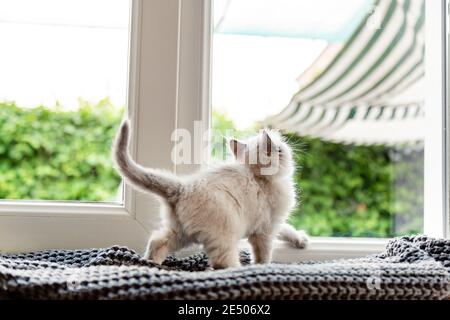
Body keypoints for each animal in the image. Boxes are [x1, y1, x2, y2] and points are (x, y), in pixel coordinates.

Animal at [114, 119, 308, 268]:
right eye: (280, 149)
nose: (288, 146)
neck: (259, 177)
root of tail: (183, 187)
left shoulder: (271, 223)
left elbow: (287, 228)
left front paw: (300, 240)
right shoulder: (266, 229)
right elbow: (264, 255)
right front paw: (263, 268)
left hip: (181, 233)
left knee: (157, 241)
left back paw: (151, 263)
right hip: (225, 235)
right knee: (221, 262)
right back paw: (238, 270)